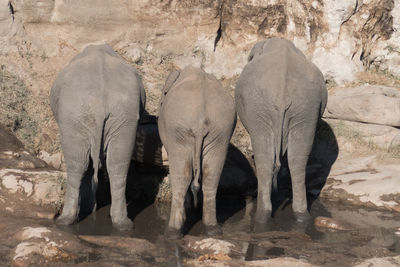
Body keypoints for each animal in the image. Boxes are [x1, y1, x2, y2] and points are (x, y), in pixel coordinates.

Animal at [50, 44, 145, 230]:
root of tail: (100, 102)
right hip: (124, 115)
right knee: (118, 164)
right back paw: (123, 224)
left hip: (74, 116)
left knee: (77, 163)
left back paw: (65, 220)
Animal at [157, 66, 238, 239]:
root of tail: (200, 120)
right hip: (221, 130)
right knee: (211, 174)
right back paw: (213, 230)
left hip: (178, 129)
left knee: (182, 175)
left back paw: (172, 233)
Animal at [236, 36, 326, 223]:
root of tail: (282, 94)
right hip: (306, 107)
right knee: (297, 159)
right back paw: (301, 216)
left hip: (259, 106)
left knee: (265, 158)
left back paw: (261, 217)